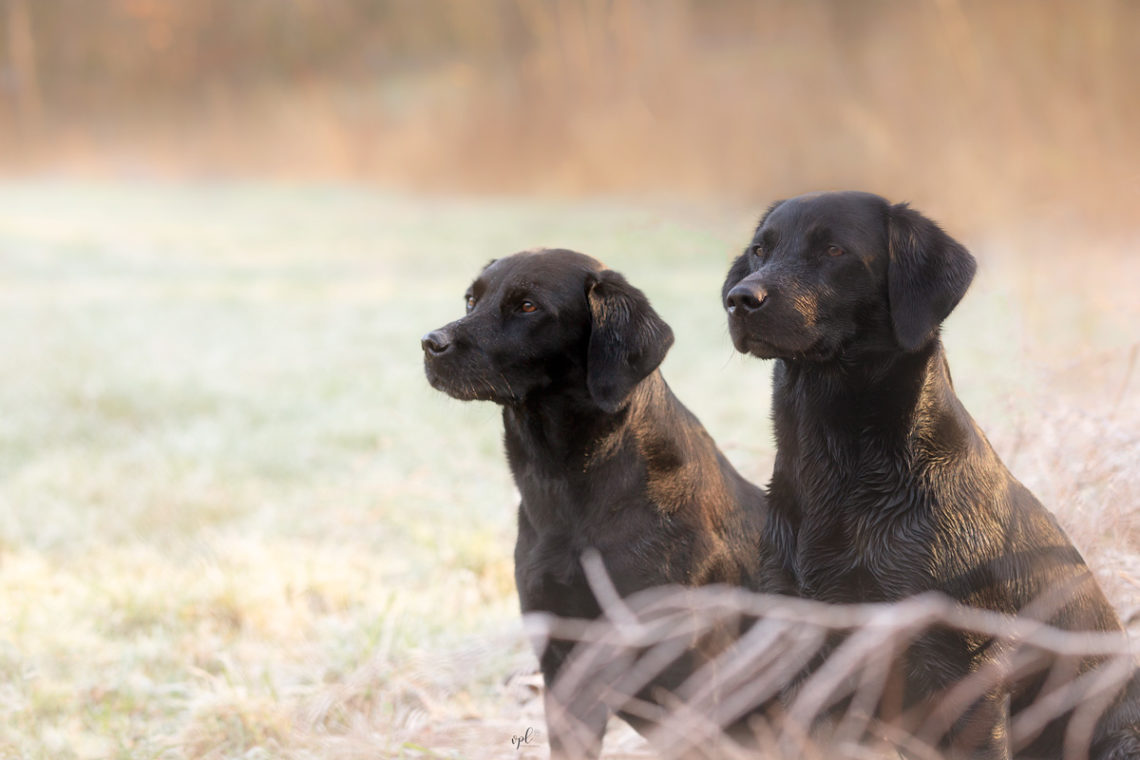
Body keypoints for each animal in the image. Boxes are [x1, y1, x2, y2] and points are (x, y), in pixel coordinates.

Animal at [426, 250, 775, 760]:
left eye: (528, 306)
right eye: (472, 299)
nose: (430, 343)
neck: (569, 494)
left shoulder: (687, 674)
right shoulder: (563, 662)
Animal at [725, 191, 1135, 760]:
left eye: (833, 250)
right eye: (760, 250)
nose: (740, 299)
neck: (841, 471)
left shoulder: (966, 666)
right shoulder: (802, 644)